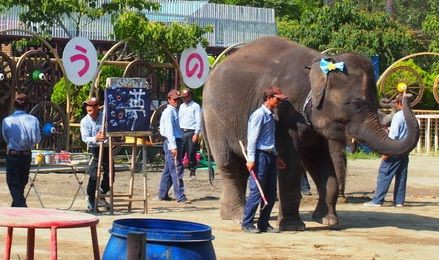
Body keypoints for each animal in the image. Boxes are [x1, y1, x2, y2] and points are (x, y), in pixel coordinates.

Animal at [203, 36, 420, 230]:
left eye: (375, 104)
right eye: (356, 104)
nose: (406, 94)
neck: (318, 64)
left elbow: (319, 161)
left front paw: (328, 221)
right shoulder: (286, 113)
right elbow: (289, 162)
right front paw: (294, 227)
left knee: (243, 166)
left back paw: (230, 215)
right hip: (215, 118)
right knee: (228, 164)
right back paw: (238, 216)